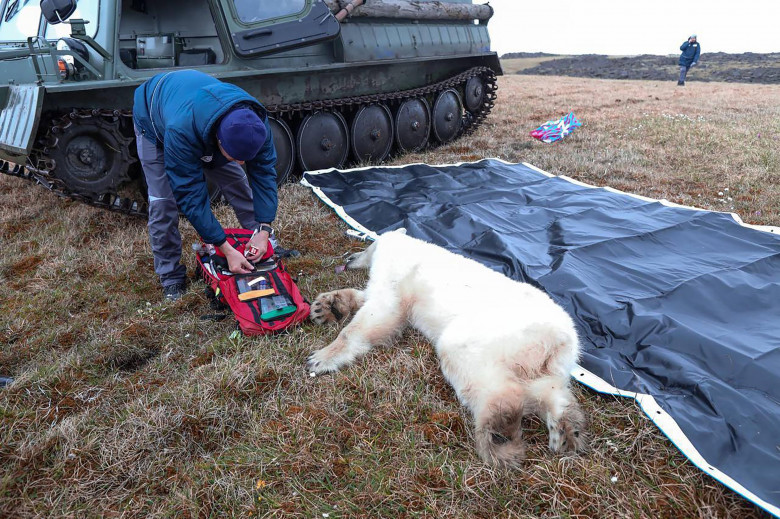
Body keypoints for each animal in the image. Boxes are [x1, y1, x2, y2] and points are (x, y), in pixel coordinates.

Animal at [304, 231, 584, 468]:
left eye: (368, 243)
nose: (348, 257)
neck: (407, 245)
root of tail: (561, 336)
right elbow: (374, 303)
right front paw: (326, 306)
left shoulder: (395, 272)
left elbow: (381, 312)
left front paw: (319, 358)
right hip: (539, 356)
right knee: (545, 387)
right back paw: (565, 431)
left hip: (497, 330)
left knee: (473, 365)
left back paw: (498, 433)